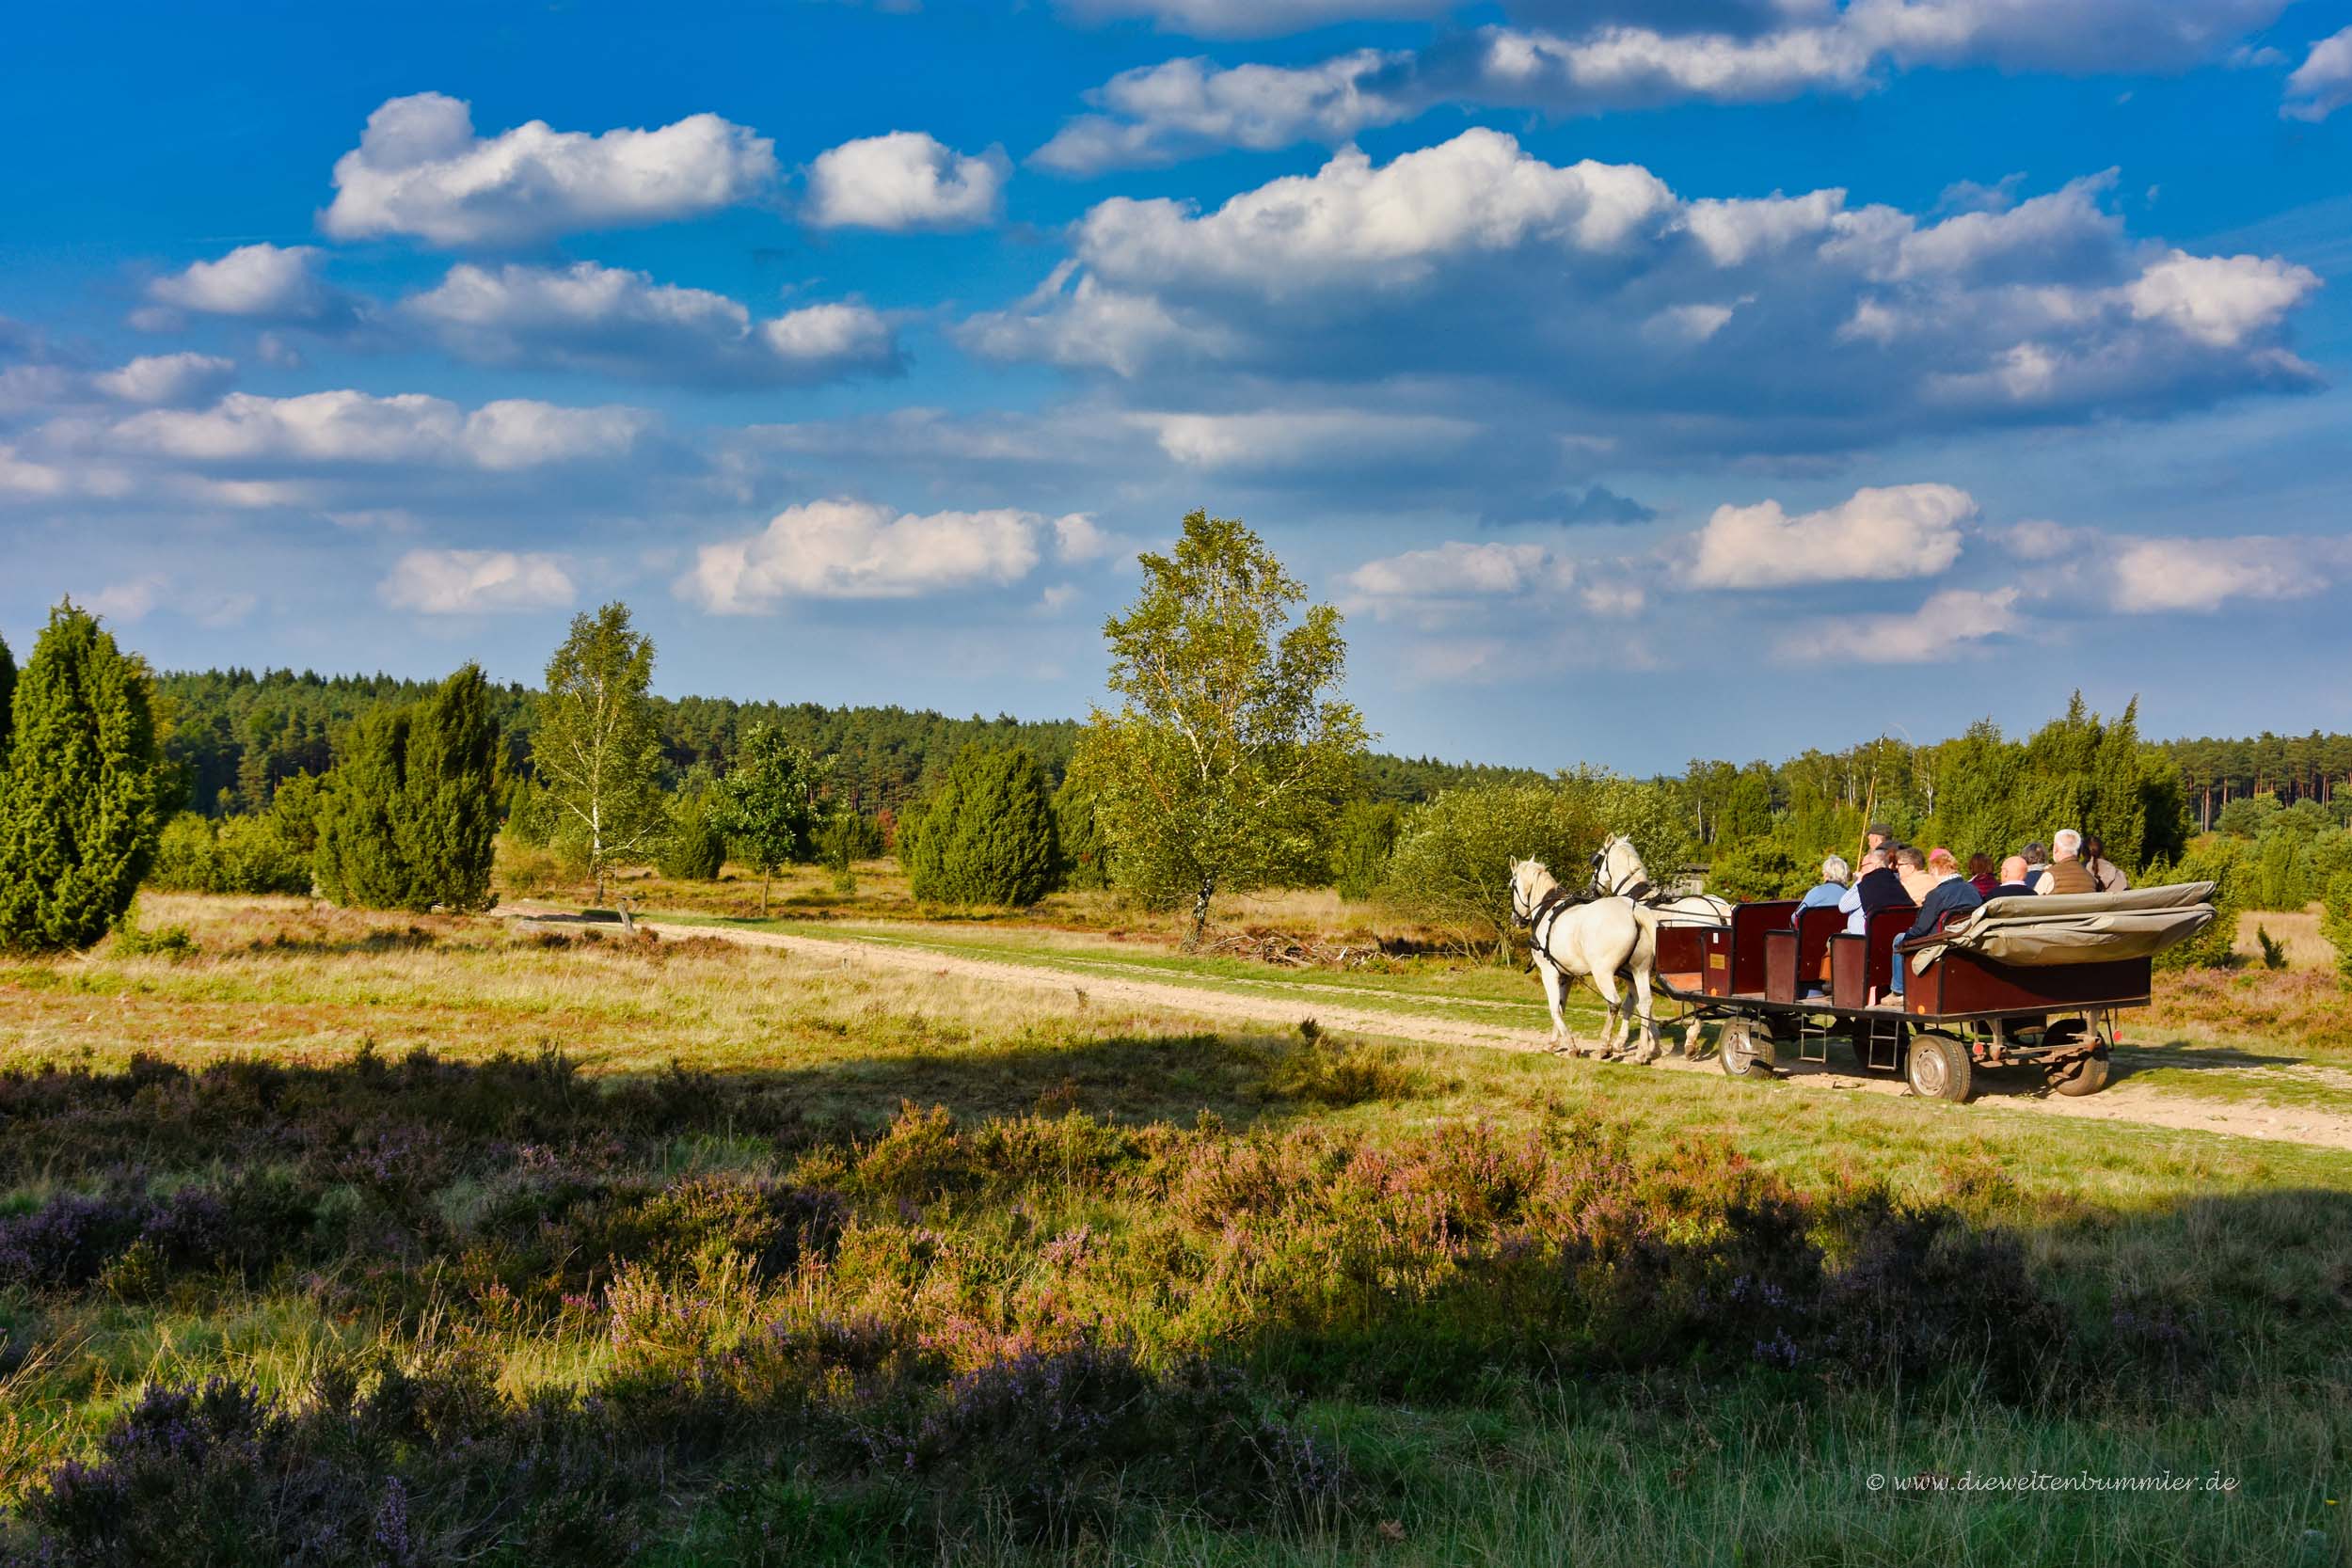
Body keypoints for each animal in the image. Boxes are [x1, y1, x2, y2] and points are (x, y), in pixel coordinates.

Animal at [1505, 860, 1656, 1067]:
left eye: (1512, 885)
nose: (1516, 919)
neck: (1547, 909)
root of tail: (1632, 909)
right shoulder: (1567, 975)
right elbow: (1561, 1006)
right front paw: (1553, 1043)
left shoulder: (1549, 972)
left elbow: (1554, 1008)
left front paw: (1571, 1045)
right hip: (1638, 971)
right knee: (1645, 1003)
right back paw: (1642, 1053)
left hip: (1603, 973)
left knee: (1614, 1003)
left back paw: (1605, 1048)